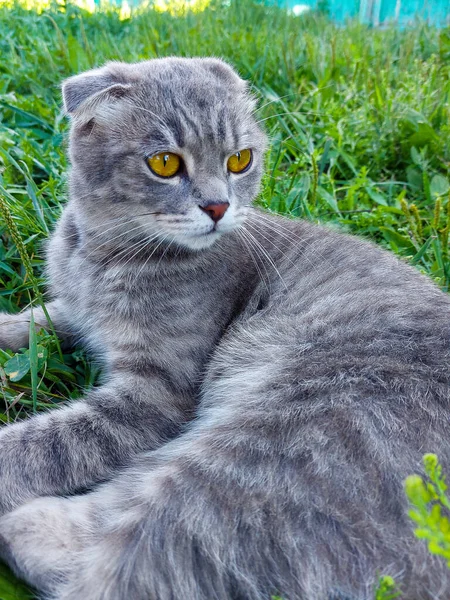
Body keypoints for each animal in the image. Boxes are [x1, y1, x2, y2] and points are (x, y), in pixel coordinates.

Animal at [0, 56, 450, 600]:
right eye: (165, 163)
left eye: (240, 160)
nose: (217, 207)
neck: (99, 255)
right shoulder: (76, 311)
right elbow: (40, 318)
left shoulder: (153, 396)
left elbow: (47, 444)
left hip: (282, 435)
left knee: (132, 559)